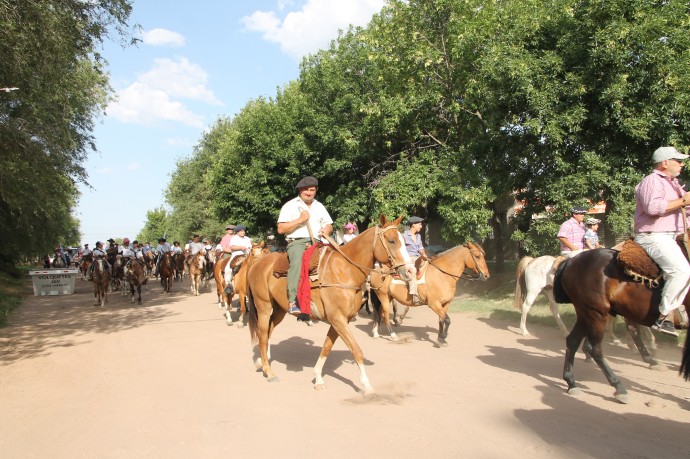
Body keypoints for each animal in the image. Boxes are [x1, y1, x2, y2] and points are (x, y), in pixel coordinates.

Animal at [245, 217, 412, 396]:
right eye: (392, 240)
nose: (410, 271)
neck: (346, 271)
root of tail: (257, 263)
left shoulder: (339, 321)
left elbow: (326, 348)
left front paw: (318, 378)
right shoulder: (338, 320)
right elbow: (356, 350)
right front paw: (366, 385)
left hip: (279, 310)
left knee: (268, 332)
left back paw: (262, 361)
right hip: (263, 307)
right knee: (262, 335)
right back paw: (268, 371)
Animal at [552, 250, 684, 404]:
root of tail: (570, 261)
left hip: (585, 313)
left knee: (572, 341)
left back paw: (571, 382)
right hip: (596, 313)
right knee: (595, 349)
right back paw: (619, 387)